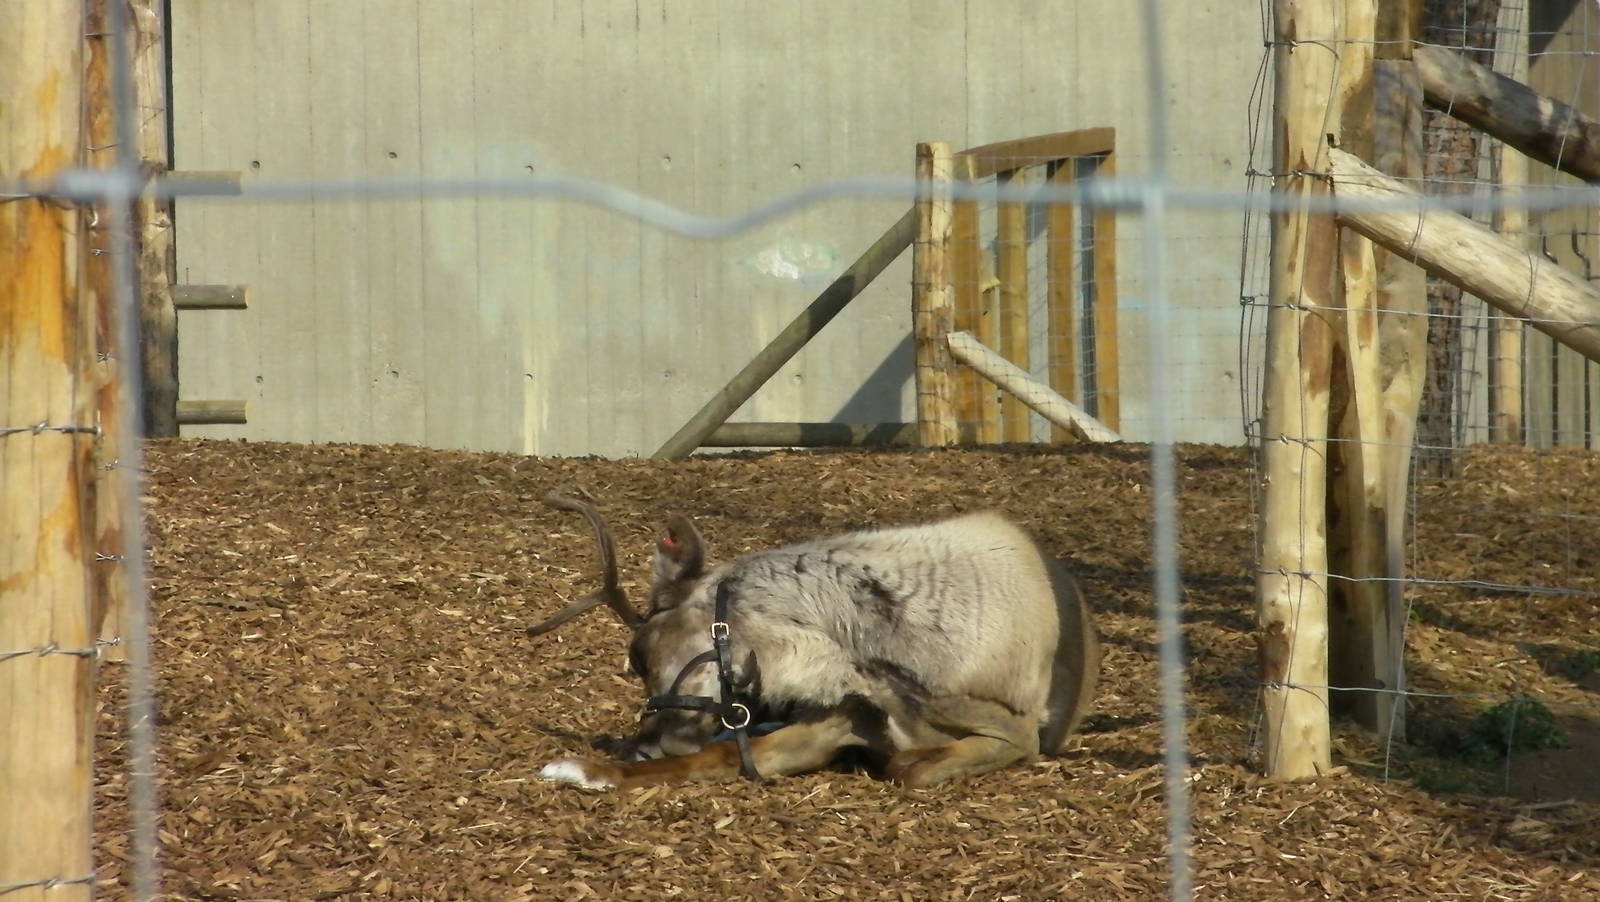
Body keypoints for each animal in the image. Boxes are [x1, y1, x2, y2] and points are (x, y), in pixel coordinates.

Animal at [527, 489, 1101, 792]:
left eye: (641, 652)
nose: (645, 741)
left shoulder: (1017, 734)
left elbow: (907, 767)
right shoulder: (835, 721)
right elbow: (721, 756)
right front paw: (588, 768)